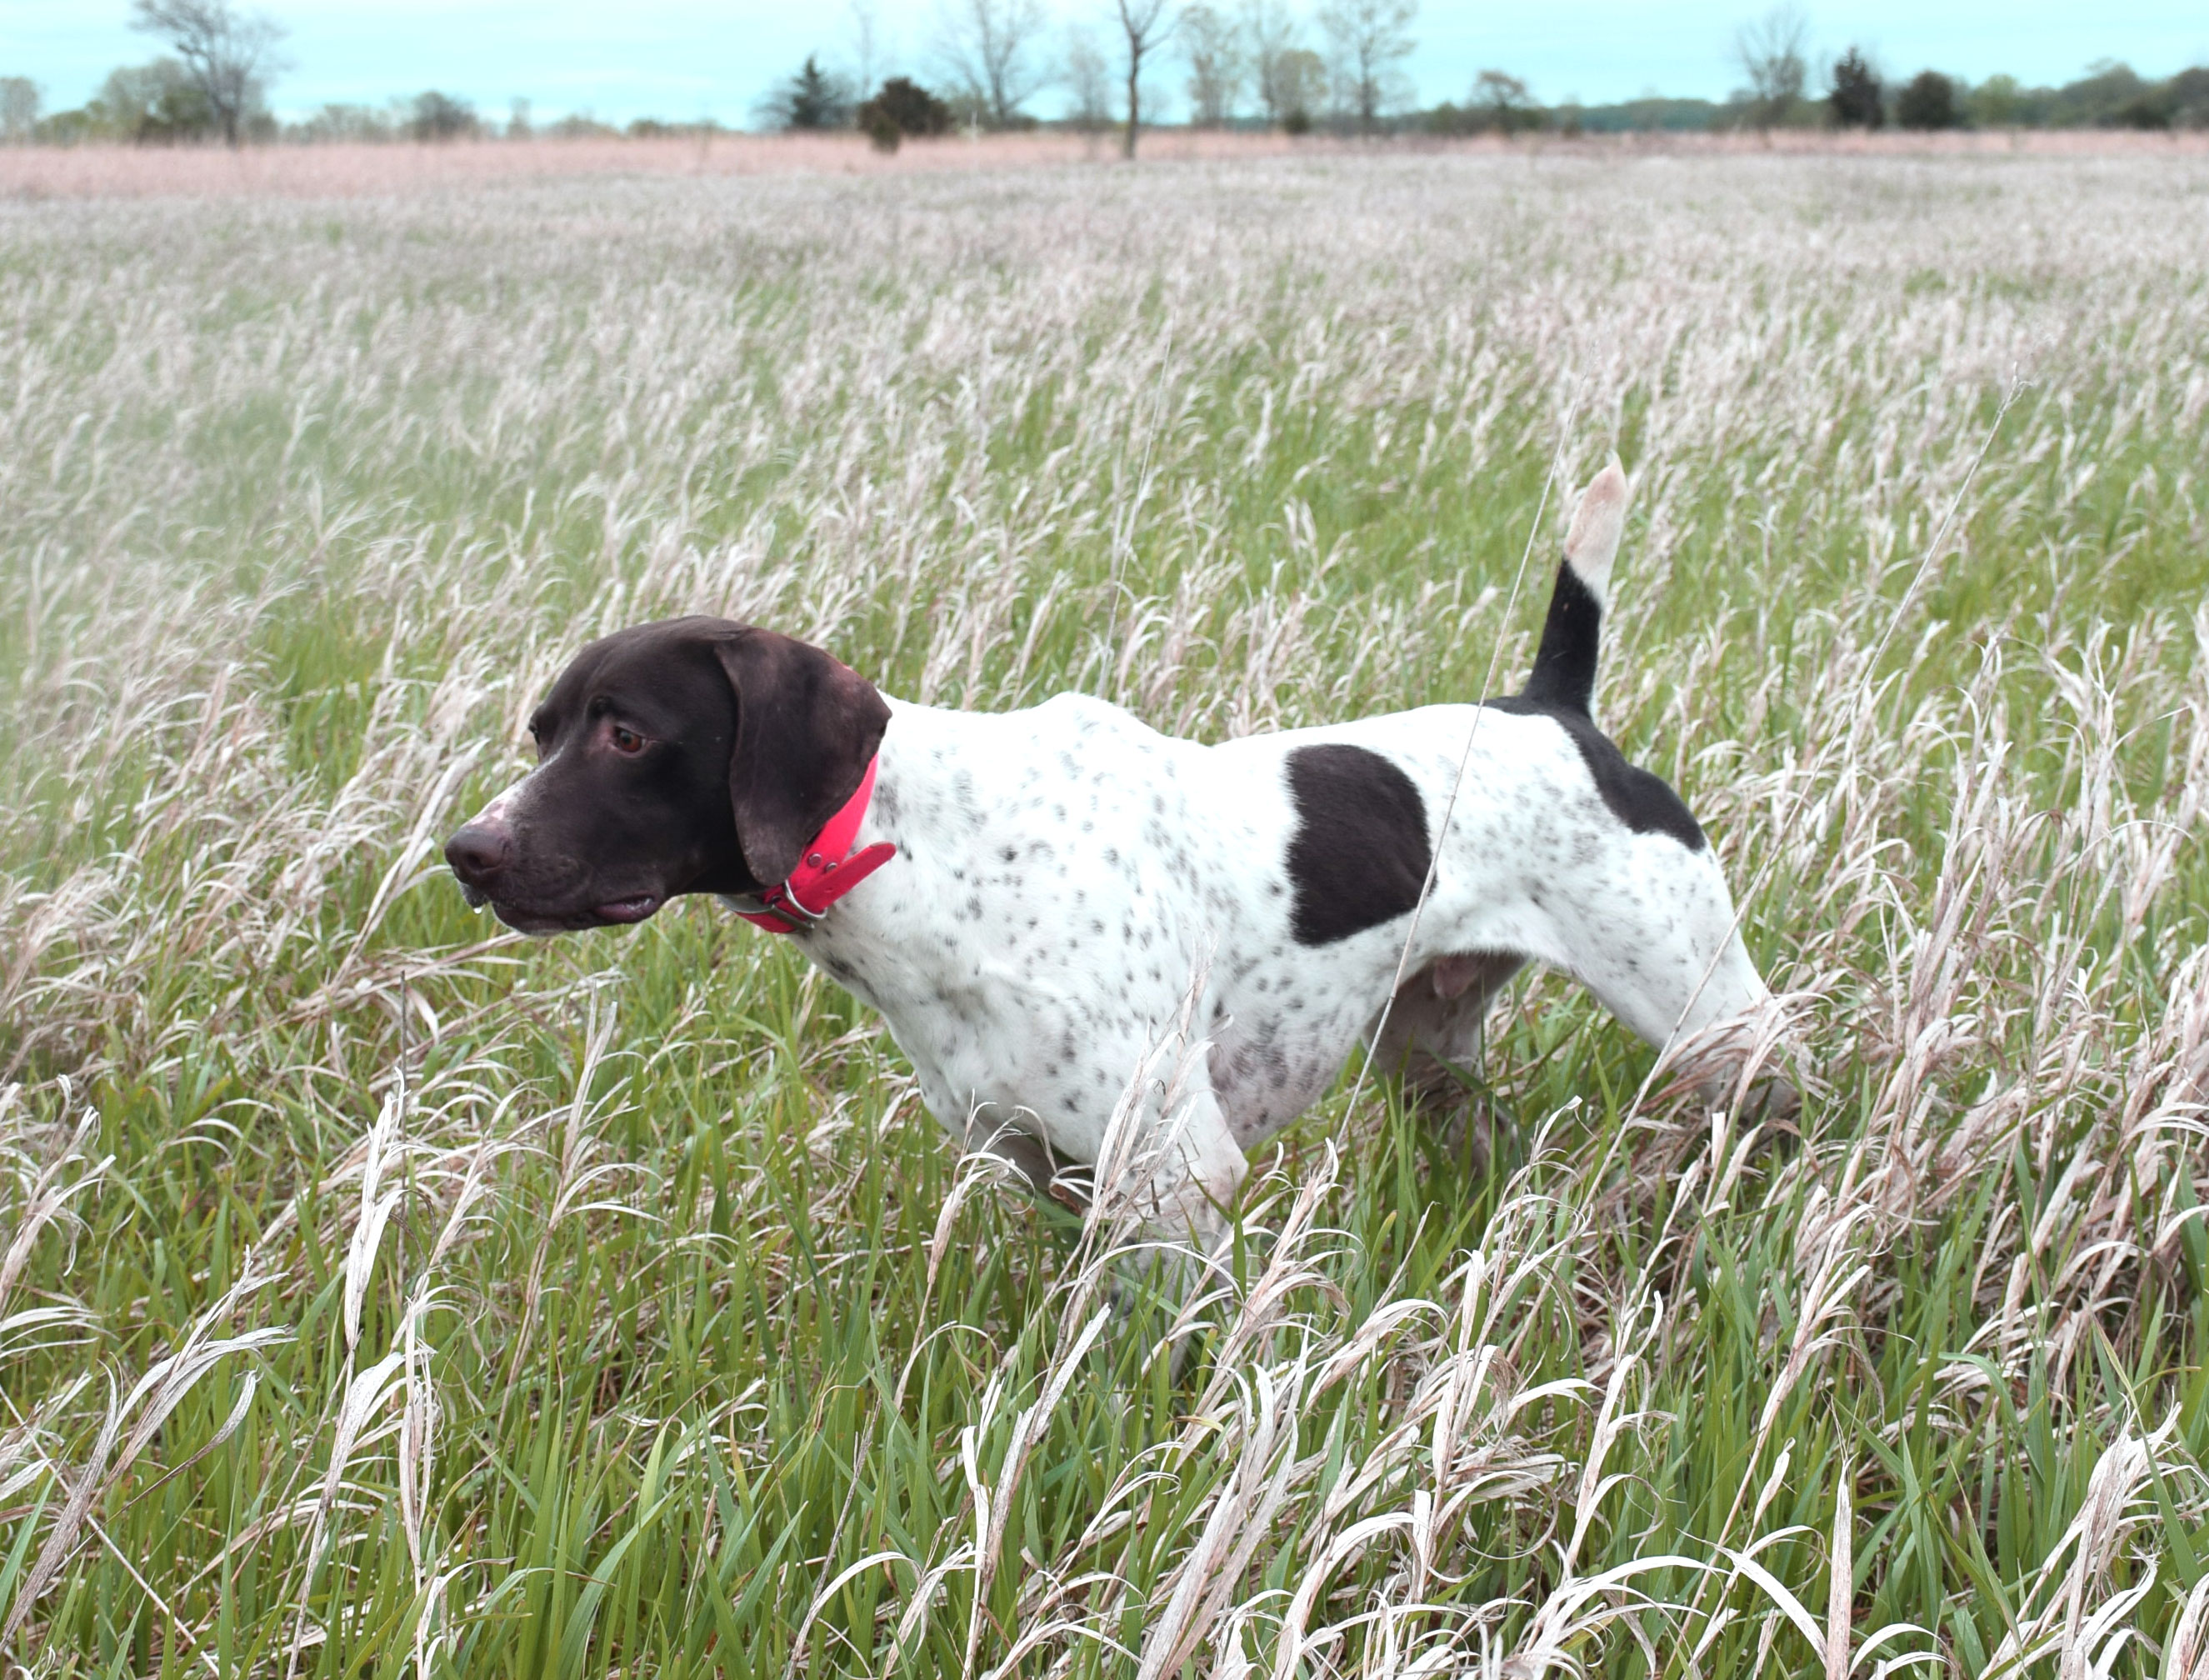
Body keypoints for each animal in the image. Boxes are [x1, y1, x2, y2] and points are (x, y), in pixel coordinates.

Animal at [448, 459, 1793, 1247]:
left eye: (628, 734)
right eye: (543, 732)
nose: (467, 852)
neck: (923, 861)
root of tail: (1549, 709)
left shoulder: (1173, 1174)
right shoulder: (1042, 1165)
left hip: (1710, 1023)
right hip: (1426, 1062)